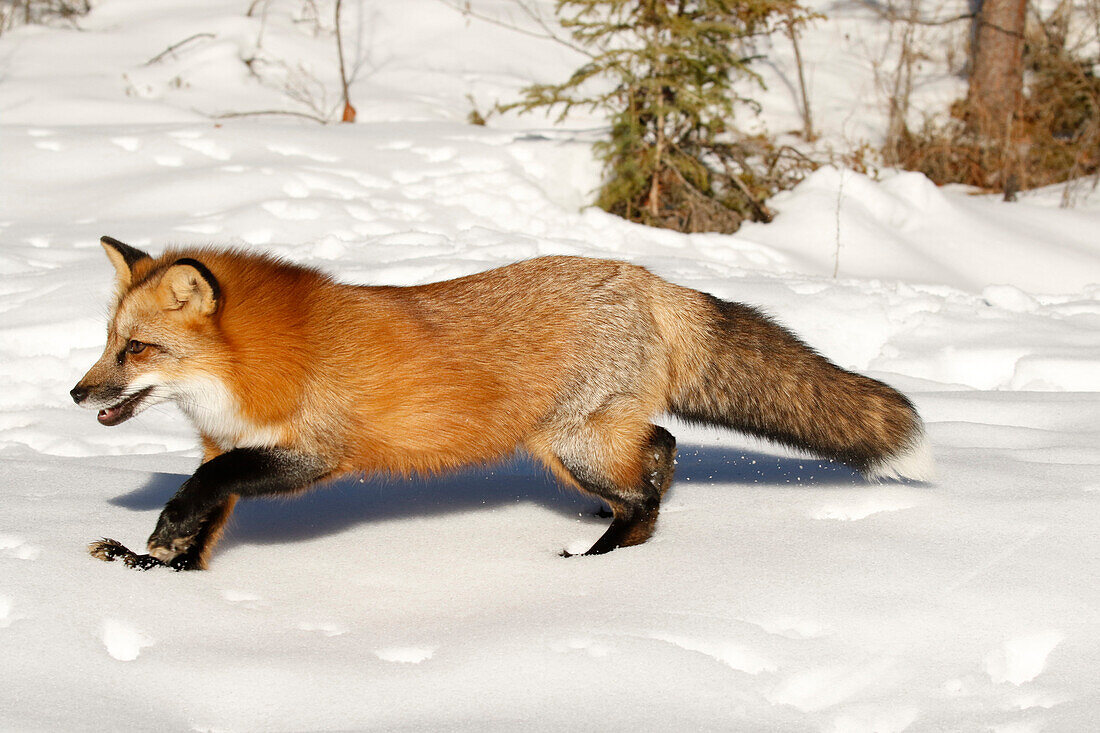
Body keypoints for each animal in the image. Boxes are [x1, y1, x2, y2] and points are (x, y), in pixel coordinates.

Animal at [73, 236, 932, 567]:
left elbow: (202, 489)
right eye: (108, 341)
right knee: (660, 448)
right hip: (580, 441)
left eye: (137, 349)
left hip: (573, 444)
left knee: (655, 472)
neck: (248, 371)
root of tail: (645, 276)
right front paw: (162, 571)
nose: (79, 392)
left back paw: (606, 555)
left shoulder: (312, 451)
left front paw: (161, 538)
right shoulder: (229, 444)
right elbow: (206, 515)